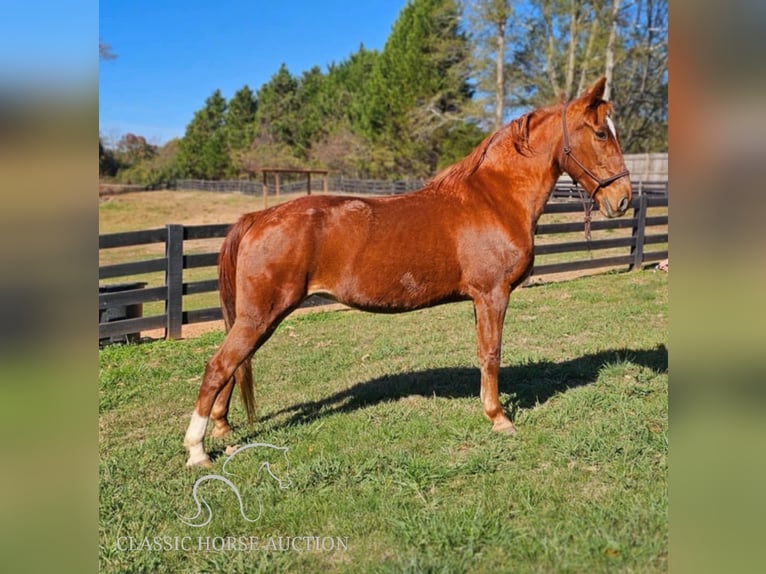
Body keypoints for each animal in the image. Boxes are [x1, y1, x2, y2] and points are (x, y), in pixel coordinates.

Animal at [184, 79, 632, 470]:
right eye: (600, 133)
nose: (623, 199)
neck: (494, 198)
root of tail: (259, 217)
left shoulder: (480, 300)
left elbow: (482, 354)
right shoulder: (493, 294)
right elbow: (492, 354)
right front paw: (499, 418)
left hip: (256, 318)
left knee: (232, 367)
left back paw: (221, 429)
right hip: (260, 316)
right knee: (219, 367)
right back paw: (197, 451)